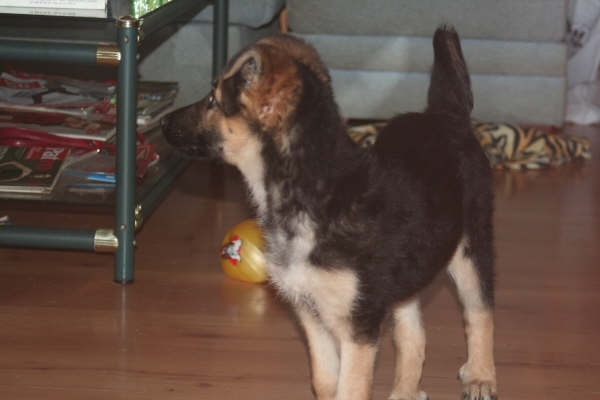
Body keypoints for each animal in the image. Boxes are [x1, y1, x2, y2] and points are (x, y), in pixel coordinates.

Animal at [162, 26, 497, 400]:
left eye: (212, 101)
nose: (162, 122)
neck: (313, 192)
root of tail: (446, 116)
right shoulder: (312, 313)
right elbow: (324, 380)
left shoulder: (358, 326)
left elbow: (349, 389)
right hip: (405, 276)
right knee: (414, 337)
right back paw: (405, 392)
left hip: (471, 248)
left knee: (480, 312)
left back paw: (481, 375)